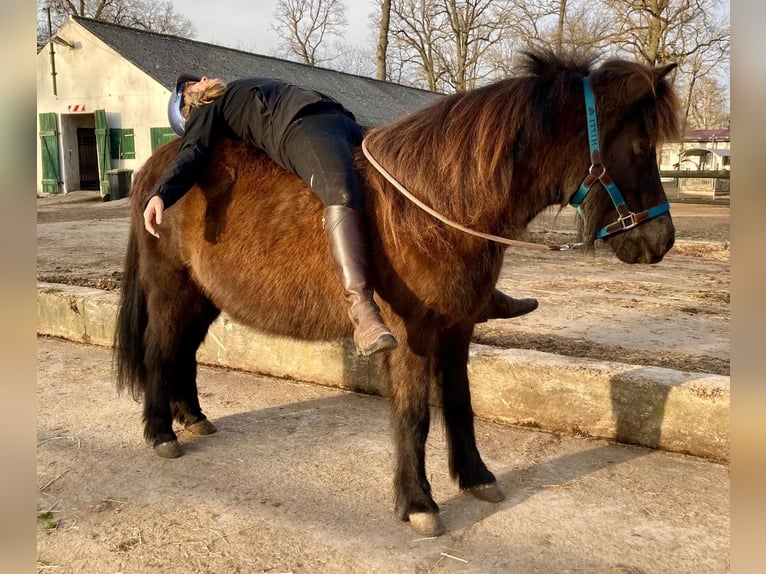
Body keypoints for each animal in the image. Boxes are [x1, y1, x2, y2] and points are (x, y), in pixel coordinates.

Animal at [114, 48, 681, 536]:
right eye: (639, 148)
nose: (661, 241)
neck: (435, 204)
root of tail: (153, 173)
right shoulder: (411, 336)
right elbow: (414, 415)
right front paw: (418, 502)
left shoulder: (457, 327)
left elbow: (459, 402)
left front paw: (476, 477)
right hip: (171, 290)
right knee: (160, 350)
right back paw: (161, 432)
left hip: (202, 296)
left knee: (183, 352)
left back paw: (192, 418)